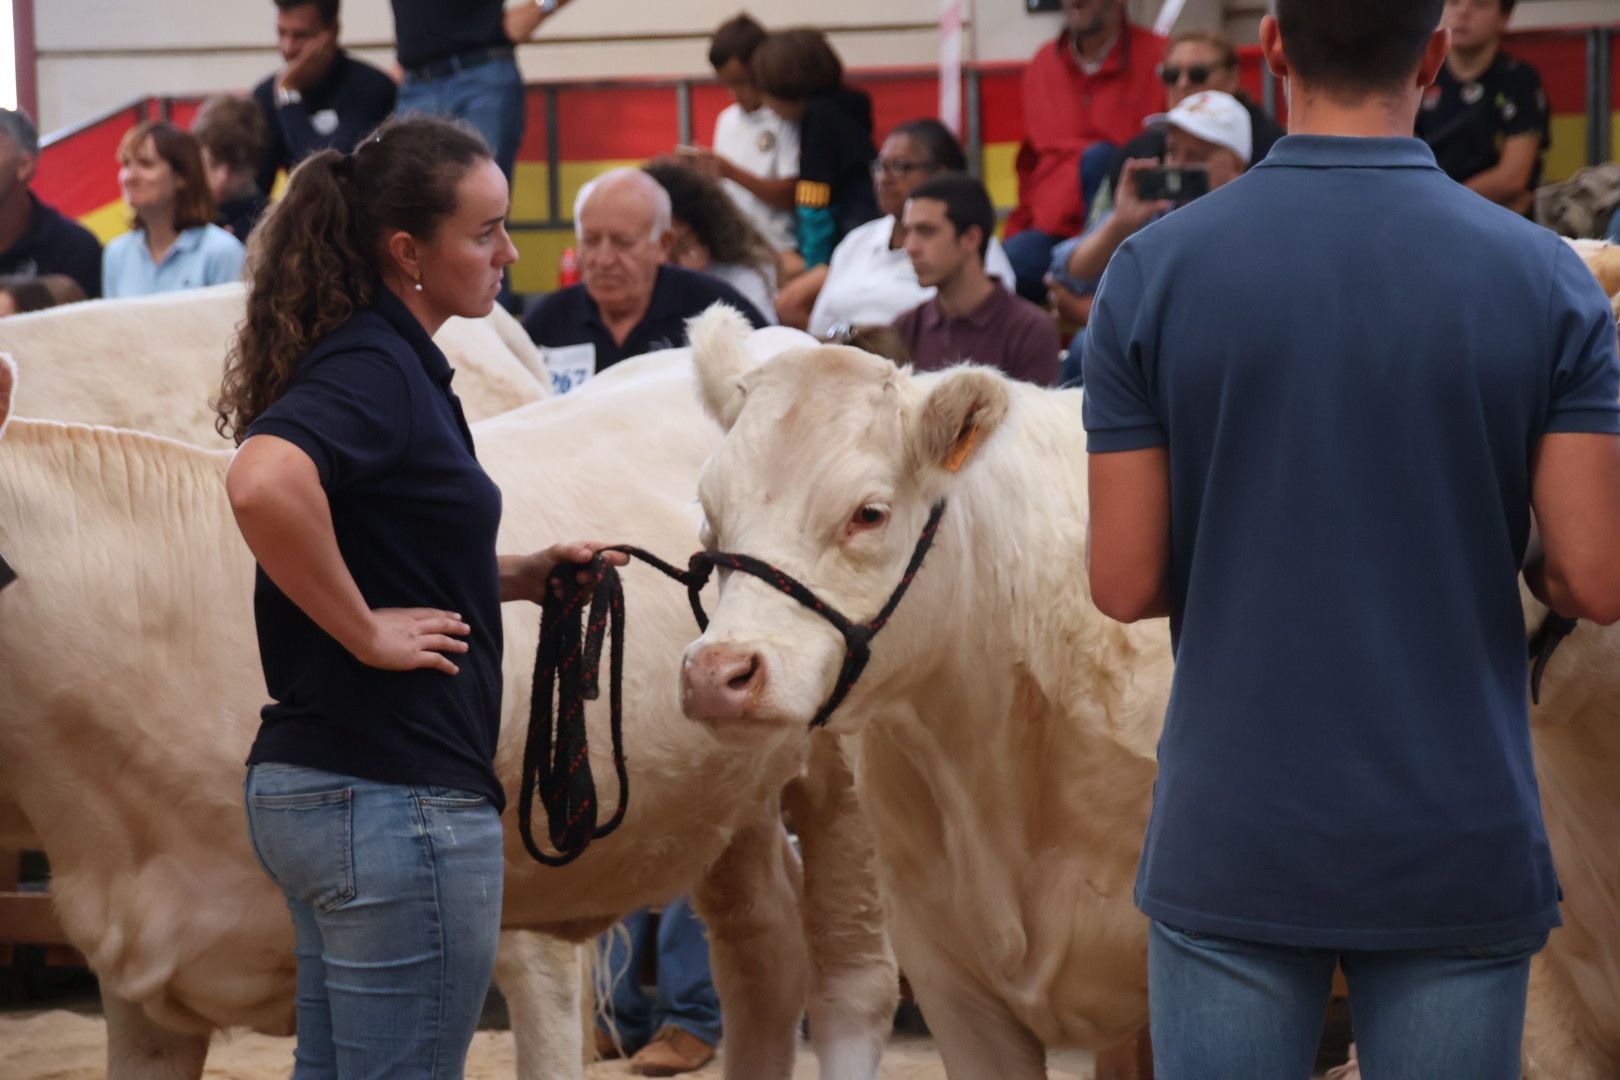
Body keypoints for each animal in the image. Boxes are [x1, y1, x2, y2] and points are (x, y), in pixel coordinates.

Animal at [0, 348, 894, 1080]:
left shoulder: (493, 911)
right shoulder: (142, 974)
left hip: (847, 777)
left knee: (854, 981)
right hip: (727, 799)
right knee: (763, 956)